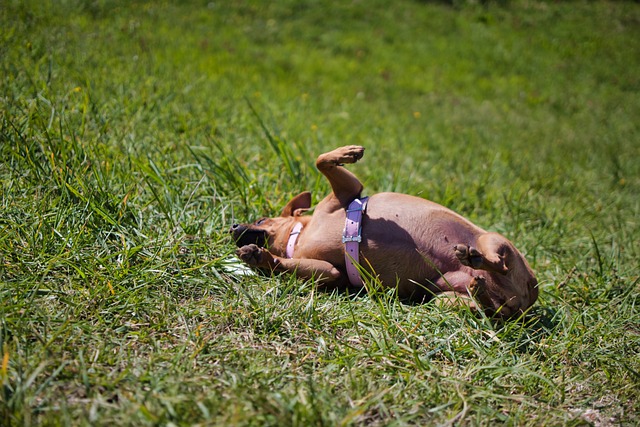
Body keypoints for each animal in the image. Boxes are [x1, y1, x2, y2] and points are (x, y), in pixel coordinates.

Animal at [228, 147, 536, 318]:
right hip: (443, 297)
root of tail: (527, 298)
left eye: (261, 217)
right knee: (490, 309)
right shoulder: (330, 271)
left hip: (491, 239)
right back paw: (479, 288)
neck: (299, 235)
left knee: (499, 263)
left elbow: (320, 160)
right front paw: (260, 258)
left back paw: (475, 259)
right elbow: (285, 264)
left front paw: (346, 153)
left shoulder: (347, 191)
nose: (232, 226)